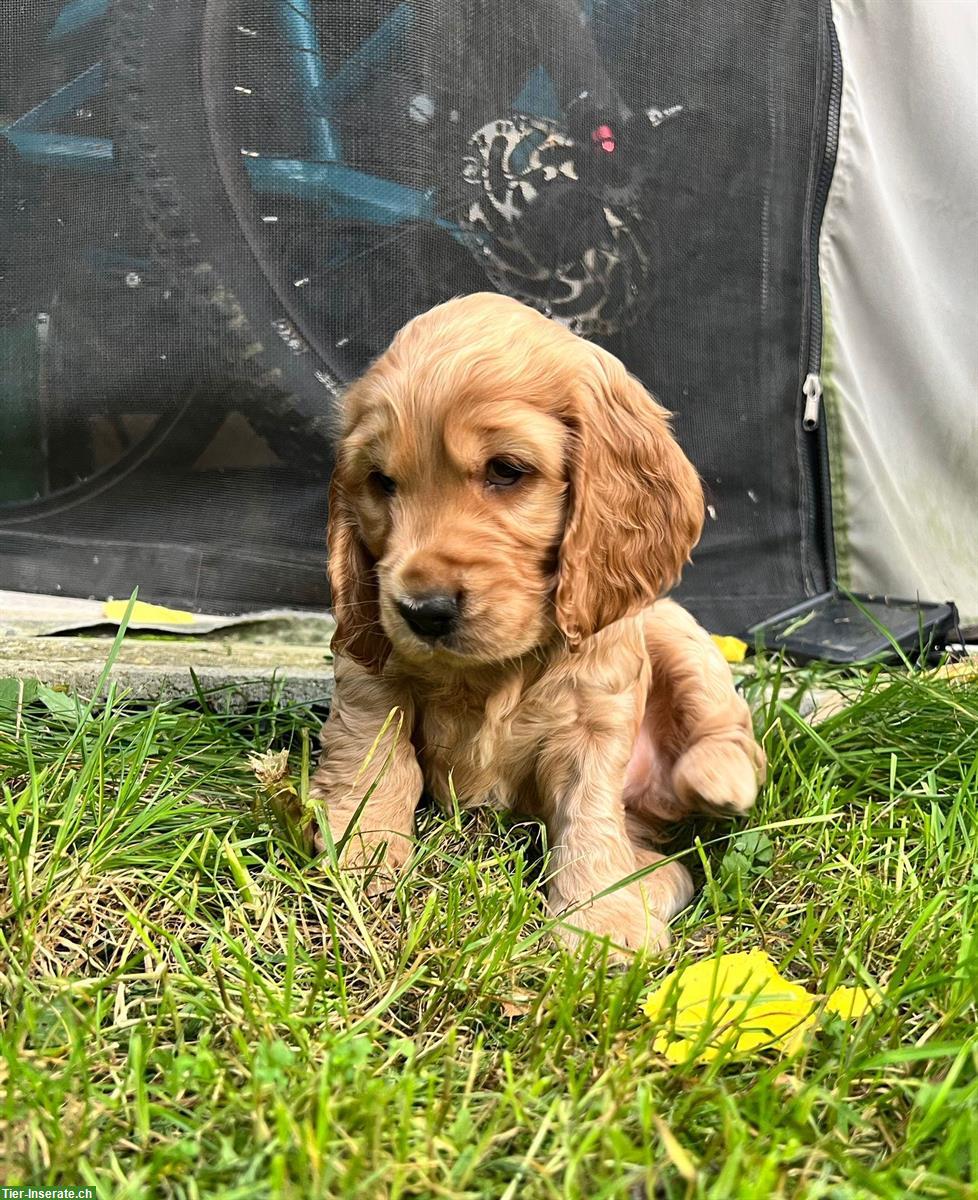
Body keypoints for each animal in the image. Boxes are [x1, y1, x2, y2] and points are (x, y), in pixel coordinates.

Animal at [312, 292, 763, 955]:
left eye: (506, 470)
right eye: (382, 482)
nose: (422, 611)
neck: (497, 670)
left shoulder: (595, 719)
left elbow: (588, 817)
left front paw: (602, 924)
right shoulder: (371, 664)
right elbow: (374, 752)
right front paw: (361, 851)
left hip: (672, 626)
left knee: (727, 734)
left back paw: (716, 780)